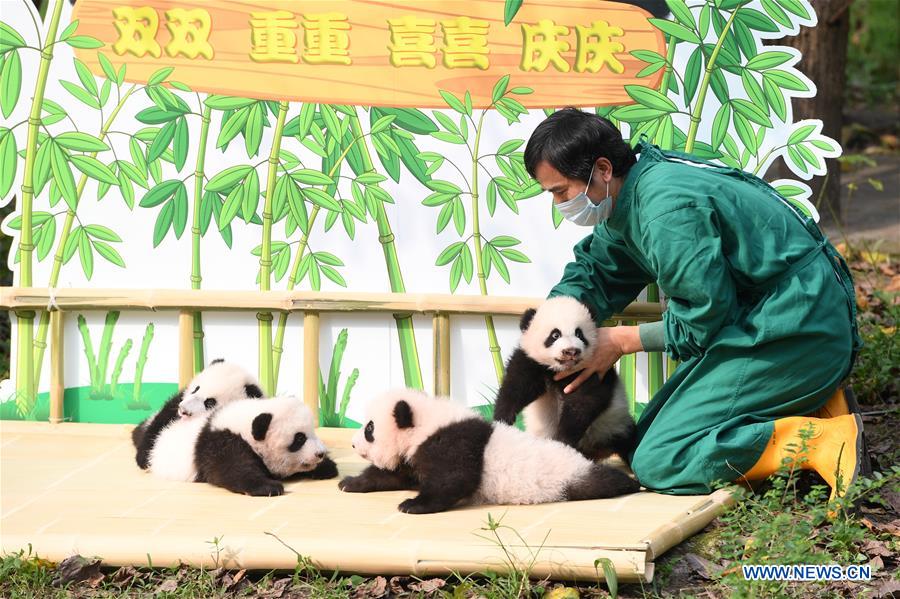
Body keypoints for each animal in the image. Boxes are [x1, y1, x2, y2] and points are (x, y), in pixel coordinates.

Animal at [132, 358, 263, 474]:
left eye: (210, 402)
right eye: (196, 389)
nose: (183, 411)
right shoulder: (177, 402)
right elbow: (161, 420)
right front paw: (143, 459)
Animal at [338, 388, 639, 514]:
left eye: (369, 428)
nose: (352, 444)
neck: (426, 423)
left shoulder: (450, 443)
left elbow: (455, 479)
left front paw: (412, 505)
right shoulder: (414, 453)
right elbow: (394, 474)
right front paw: (350, 483)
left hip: (567, 476)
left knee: (599, 481)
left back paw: (628, 484)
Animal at [492, 296, 637, 465]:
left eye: (579, 334)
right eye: (555, 335)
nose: (571, 351)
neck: (562, 370)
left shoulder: (592, 370)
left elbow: (584, 402)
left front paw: (562, 441)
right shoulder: (532, 361)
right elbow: (517, 386)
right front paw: (502, 419)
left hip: (615, 423)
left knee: (629, 440)